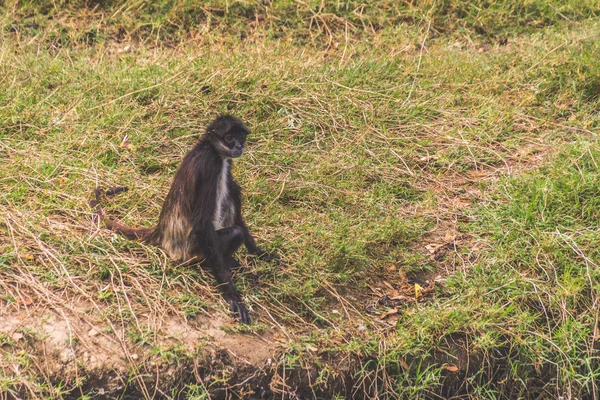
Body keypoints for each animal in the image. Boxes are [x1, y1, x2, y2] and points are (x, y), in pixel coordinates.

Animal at [91, 114, 274, 324]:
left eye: (240, 137)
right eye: (229, 138)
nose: (238, 146)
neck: (209, 148)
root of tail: (161, 232)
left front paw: (260, 254)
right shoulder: (210, 165)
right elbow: (203, 224)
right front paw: (231, 296)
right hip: (193, 252)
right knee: (235, 231)